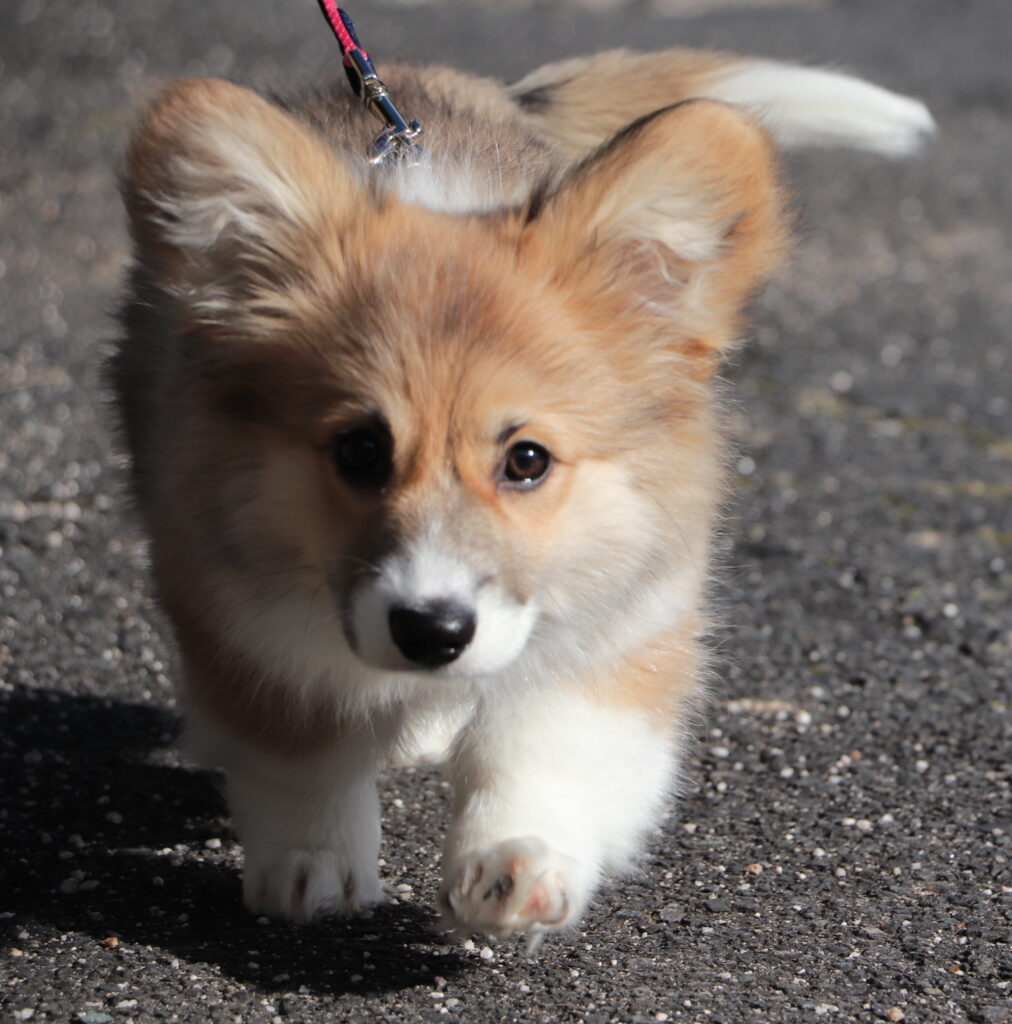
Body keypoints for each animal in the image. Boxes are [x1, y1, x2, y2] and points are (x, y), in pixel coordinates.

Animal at [110, 49, 934, 942]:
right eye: (361, 450)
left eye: (527, 460)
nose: (431, 632)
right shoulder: (237, 611)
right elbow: (304, 747)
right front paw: (310, 861)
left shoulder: (618, 620)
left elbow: (548, 739)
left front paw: (515, 857)